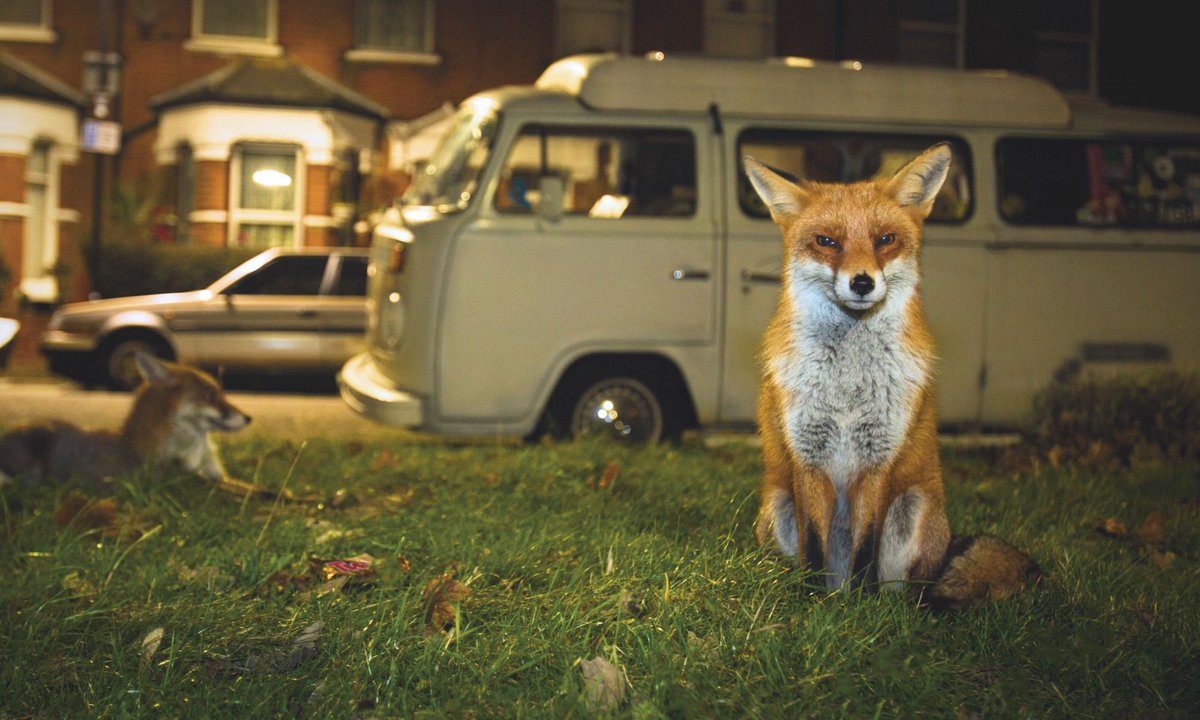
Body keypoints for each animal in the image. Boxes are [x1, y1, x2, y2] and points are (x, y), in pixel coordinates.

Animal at [744, 143, 1040, 609]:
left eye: (885, 239)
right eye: (827, 241)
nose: (862, 283)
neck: (847, 389)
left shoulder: (879, 460)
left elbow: (867, 544)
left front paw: (859, 609)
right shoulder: (807, 458)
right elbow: (815, 546)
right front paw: (812, 602)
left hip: (912, 508)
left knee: (912, 593)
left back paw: (888, 605)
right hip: (777, 506)